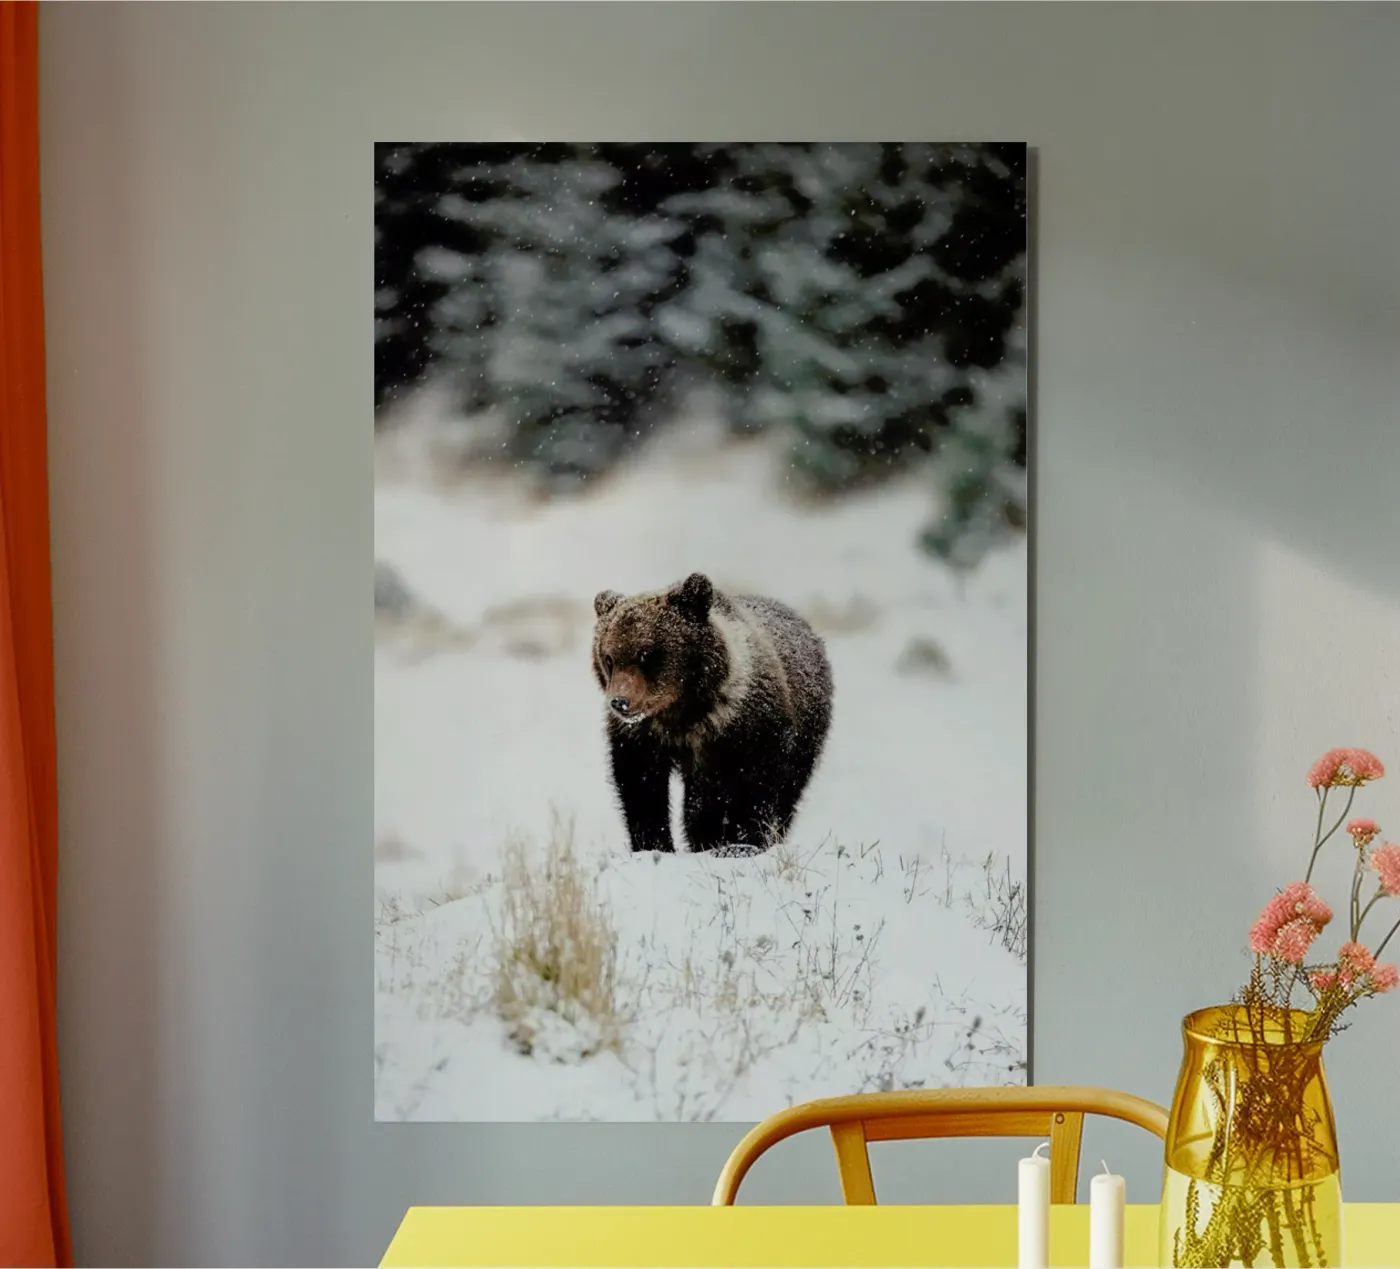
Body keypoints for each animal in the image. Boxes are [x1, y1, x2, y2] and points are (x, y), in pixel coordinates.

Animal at [591, 572, 833, 854]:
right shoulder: (642, 738)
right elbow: (641, 788)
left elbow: (753, 788)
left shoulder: (747, 730)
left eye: (646, 654)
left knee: (788, 792)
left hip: (807, 735)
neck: (683, 713)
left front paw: (742, 842)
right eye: (609, 658)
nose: (620, 702)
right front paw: (655, 844)